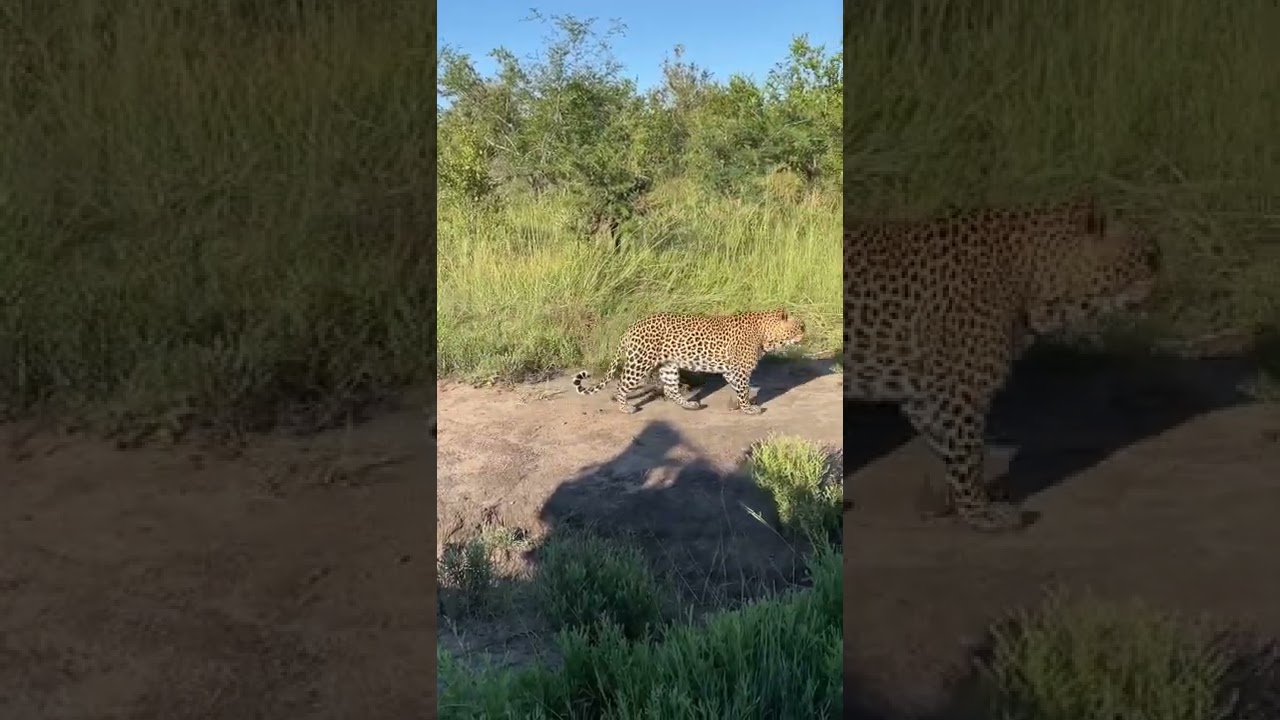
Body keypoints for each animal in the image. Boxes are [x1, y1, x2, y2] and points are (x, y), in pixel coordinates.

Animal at [573, 308, 806, 415]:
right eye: (800, 326)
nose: (806, 334)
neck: (766, 335)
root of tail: (632, 327)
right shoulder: (740, 370)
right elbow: (744, 390)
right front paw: (748, 408)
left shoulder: (731, 371)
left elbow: (738, 389)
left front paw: (740, 405)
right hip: (640, 362)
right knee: (621, 385)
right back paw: (625, 408)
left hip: (668, 365)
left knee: (670, 390)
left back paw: (690, 405)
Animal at [844, 197, 1160, 533]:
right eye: (1150, 256)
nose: (1162, 279)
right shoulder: (961, 390)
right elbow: (969, 454)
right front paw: (980, 513)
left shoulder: (926, 396)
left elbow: (946, 447)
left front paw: (951, 502)